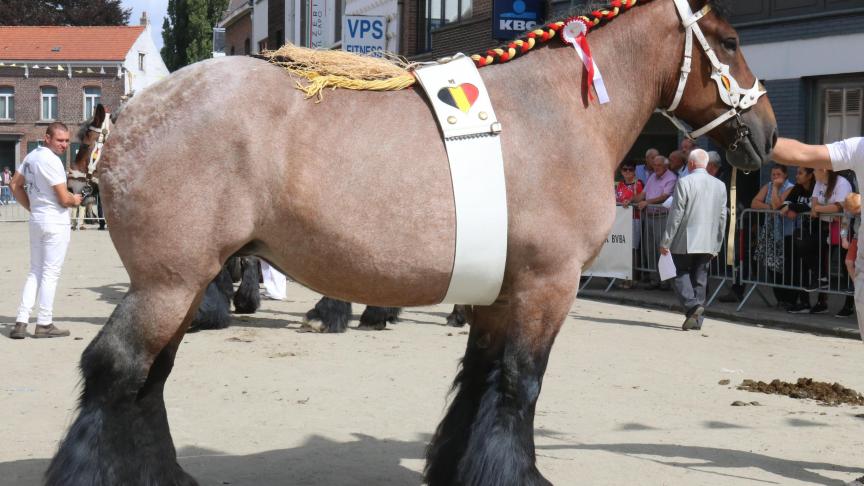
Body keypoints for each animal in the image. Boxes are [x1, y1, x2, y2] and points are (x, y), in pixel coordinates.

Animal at [45, 1, 776, 484]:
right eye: (731, 38)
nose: (767, 135)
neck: (556, 113)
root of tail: (131, 117)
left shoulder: (500, 290)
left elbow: (480, 378)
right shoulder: (547, 284)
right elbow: (520, 384)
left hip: (184, 279)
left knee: (148, 377)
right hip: (169, 282)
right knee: (118, 369)